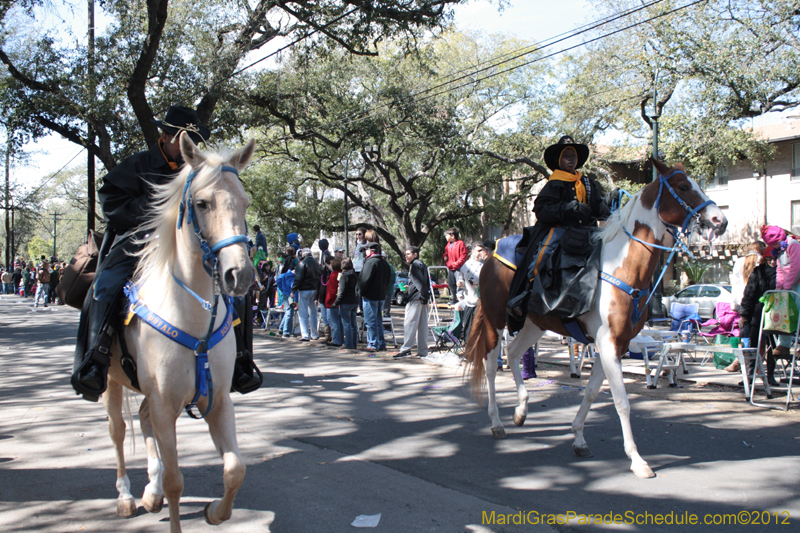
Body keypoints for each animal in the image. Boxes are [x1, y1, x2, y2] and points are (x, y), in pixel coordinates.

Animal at [102, 131, 253, 528]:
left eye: (244, 203)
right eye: (202, 203)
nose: (241, 275)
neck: (193, 318)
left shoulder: (217, 400)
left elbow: (235, 469)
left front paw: (215, 512)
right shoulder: (165, 402)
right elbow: (175, 481)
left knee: (141, 420)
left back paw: (149, 493)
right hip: (110, 381)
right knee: (118, 431)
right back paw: (125, 497)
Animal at [466, 158, 728, 478]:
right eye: (683, 186)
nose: (719, 221)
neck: (620, 268)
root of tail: (491, 256)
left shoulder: (616, 344)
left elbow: (592, 393)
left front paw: (579, 437)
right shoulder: (608, 343)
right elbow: (622, 401)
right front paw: (637, 460)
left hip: (534, 324)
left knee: (514, 353)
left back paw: (521, 410)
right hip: (496, 320)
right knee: (491, 364)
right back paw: (497, 422)